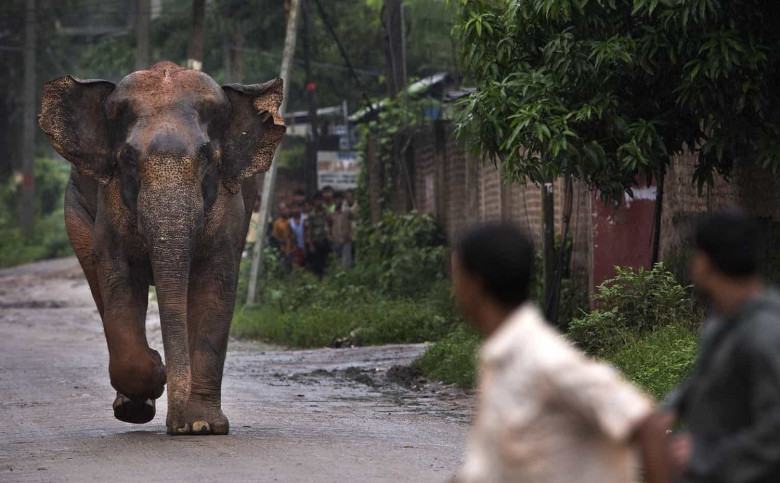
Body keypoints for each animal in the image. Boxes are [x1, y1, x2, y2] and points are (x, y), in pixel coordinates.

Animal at [38, 61, 285, 435]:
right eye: (127, 159)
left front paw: (202, 425)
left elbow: (214, 287)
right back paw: (134, 406)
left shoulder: (230, 205)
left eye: (207, 159)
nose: (177, 425)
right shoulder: (110, 202)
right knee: (101, 288)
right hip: (76, 209)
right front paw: (157, 375)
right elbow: (119, 282)